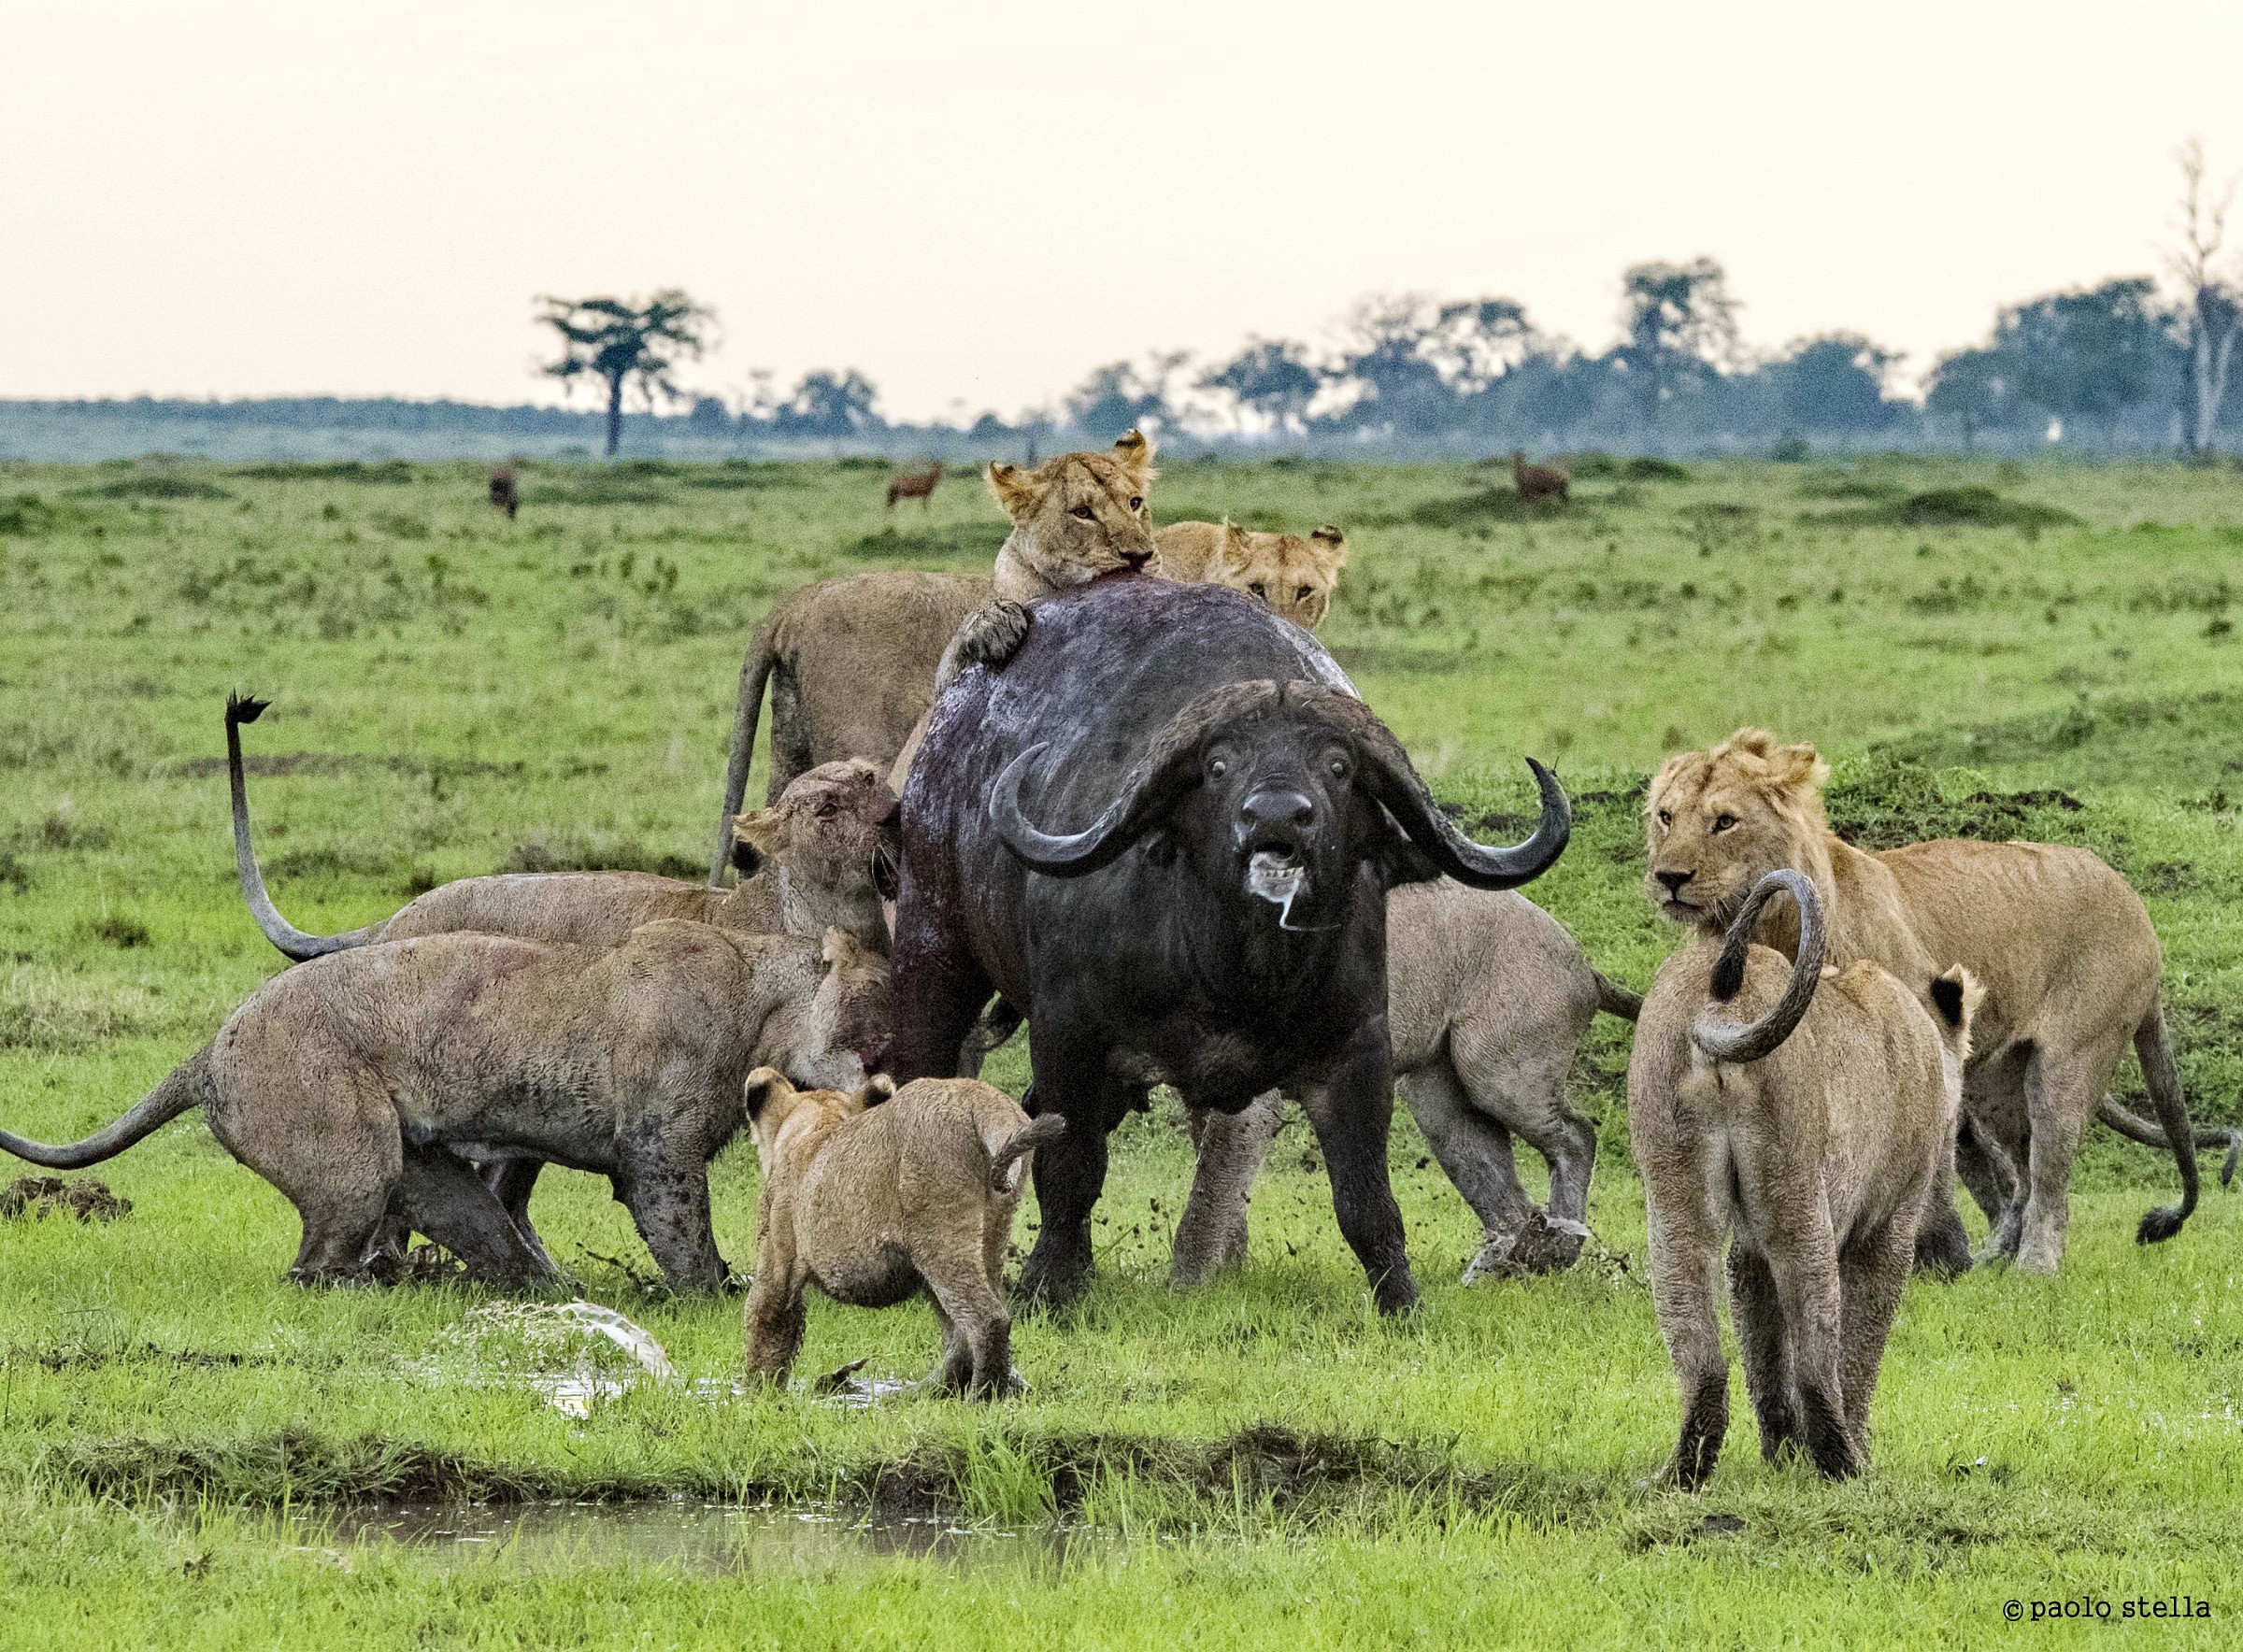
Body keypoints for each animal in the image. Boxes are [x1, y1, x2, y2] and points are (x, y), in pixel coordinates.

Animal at [890, 577, 1568, 1313]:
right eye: (1217, 766)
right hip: (932, 946)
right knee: (921, 1073)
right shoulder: (1068, 1032)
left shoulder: (1357, 1049)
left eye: (1339, 766)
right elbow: (1071, 1170)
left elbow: (1367, 1199)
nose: (1276, 816)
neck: (1232, 973)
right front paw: (1050, 1289)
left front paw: (1401, 1303)